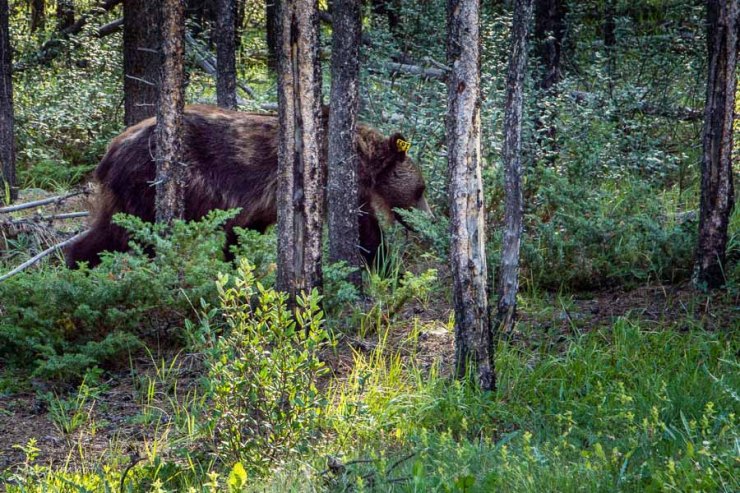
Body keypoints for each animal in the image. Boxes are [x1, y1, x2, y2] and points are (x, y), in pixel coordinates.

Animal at [65, 105, 431, 268]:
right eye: (422, 189)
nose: (430, 223)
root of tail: (111, 149)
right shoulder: (325, 182)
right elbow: (365, 229)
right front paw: (385, 264)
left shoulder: (258, 203)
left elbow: (242, 232)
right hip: (146, 184)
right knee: (131, 234)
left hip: (125, 194)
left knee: (104, 232)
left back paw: (76, 262)